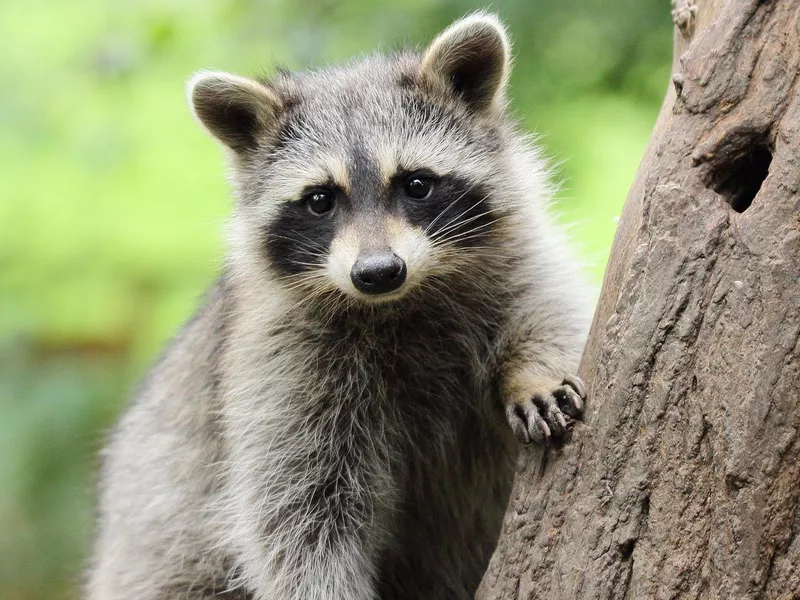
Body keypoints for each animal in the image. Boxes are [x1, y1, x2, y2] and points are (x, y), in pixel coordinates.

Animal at [87, 10, 592, 600]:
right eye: (320, 200)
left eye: (416, 184)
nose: (377, 272)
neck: (401, 302)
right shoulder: (281, 364)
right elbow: (299, 513)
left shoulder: (517, 257)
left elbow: (552, 308)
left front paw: (534, 372)